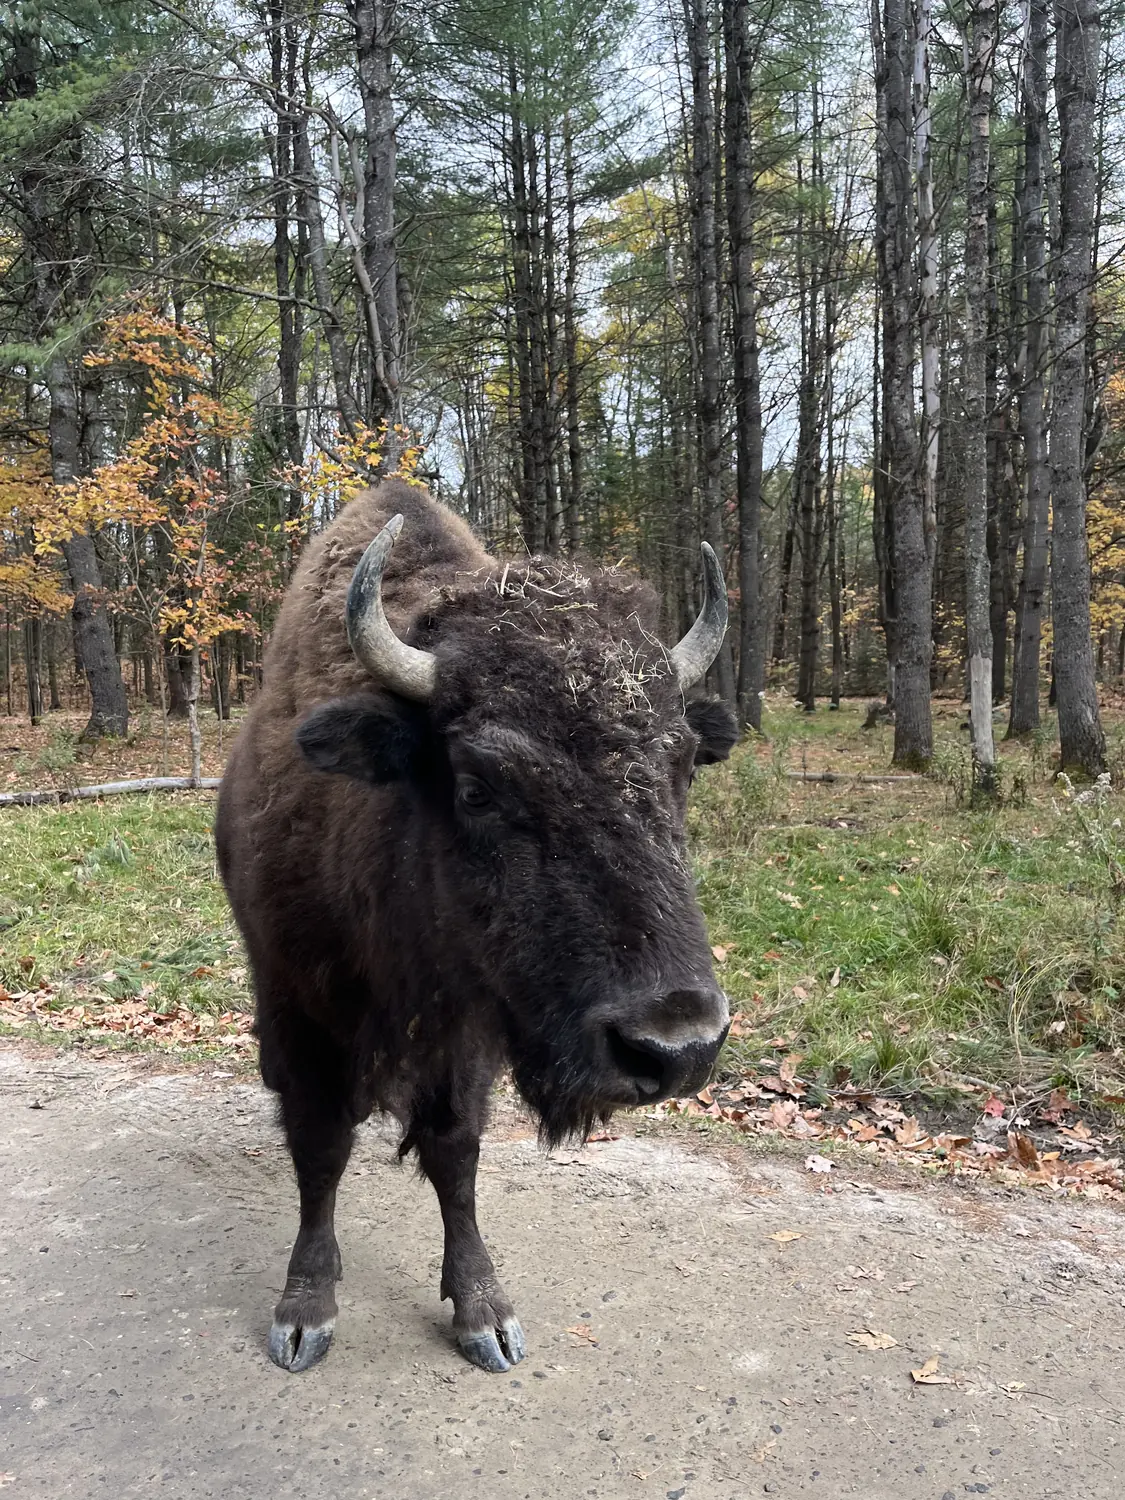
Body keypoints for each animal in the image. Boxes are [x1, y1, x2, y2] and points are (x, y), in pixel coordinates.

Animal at [215, 481, 737, 1375]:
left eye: (681, 767)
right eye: (477, 785)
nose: (677, 1047)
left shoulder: (467, 1032)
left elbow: (454, 1153)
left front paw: (483, 1313)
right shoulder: (300, 1010)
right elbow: (319, 1149)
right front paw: (304, 1311)